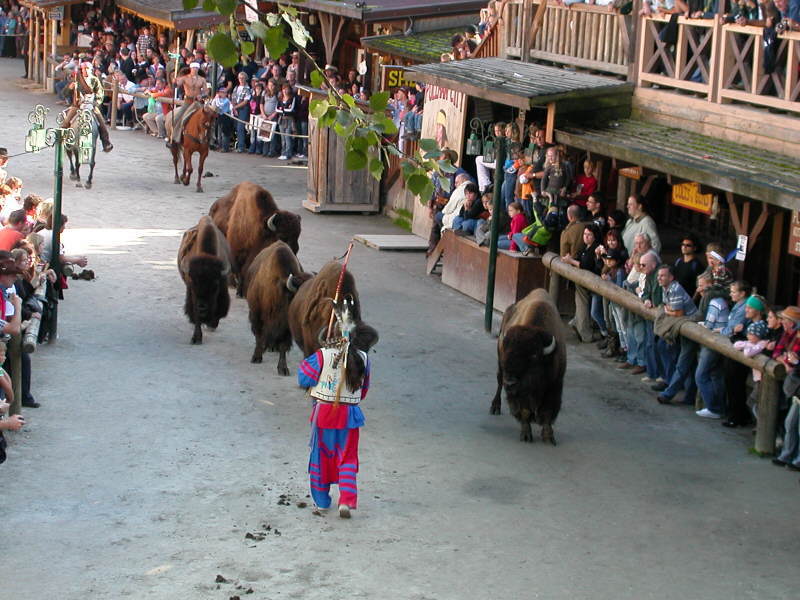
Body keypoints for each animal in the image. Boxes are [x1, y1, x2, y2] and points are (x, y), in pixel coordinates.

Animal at [177, 216, 231, 346]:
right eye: (193, 282)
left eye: (215, 284)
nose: (202, 307)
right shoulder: (192, 294)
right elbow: (196, 315)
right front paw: (196, 338)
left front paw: (211, 325)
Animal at [247, 240, 312, 372]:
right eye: (299, 295)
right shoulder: (257, 315)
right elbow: (258, 336)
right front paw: (256, 357)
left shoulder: (285, 327)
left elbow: (283, 345)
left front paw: (283, 368)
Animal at [490, 288, 564, 442]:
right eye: (507, 353)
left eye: (533, 357)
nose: (510, 382)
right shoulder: (521, 394)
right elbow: (524, 411)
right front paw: (526, 435)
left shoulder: (555, 385)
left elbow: (548, 411)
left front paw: (549, 437)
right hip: (500, 369)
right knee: (499, 382)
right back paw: (495, 407)